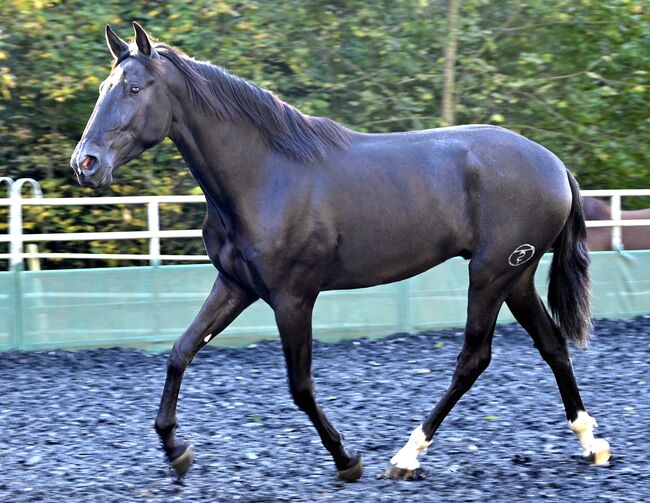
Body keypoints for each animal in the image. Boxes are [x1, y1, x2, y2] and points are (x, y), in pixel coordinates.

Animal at [71, 24, 608, 484]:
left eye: (134, 89)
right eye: (103, 87)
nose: (85, 163)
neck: (265, 175)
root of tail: (555, 165)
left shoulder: (293, 297)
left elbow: (300, 385)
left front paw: (347, 460)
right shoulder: (236, 286)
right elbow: (180, 352)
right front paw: (175, 450)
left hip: (490, 274)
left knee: (473, 358)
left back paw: (406, 456)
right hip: (516, 276)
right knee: (551, 343)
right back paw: (591, 444)